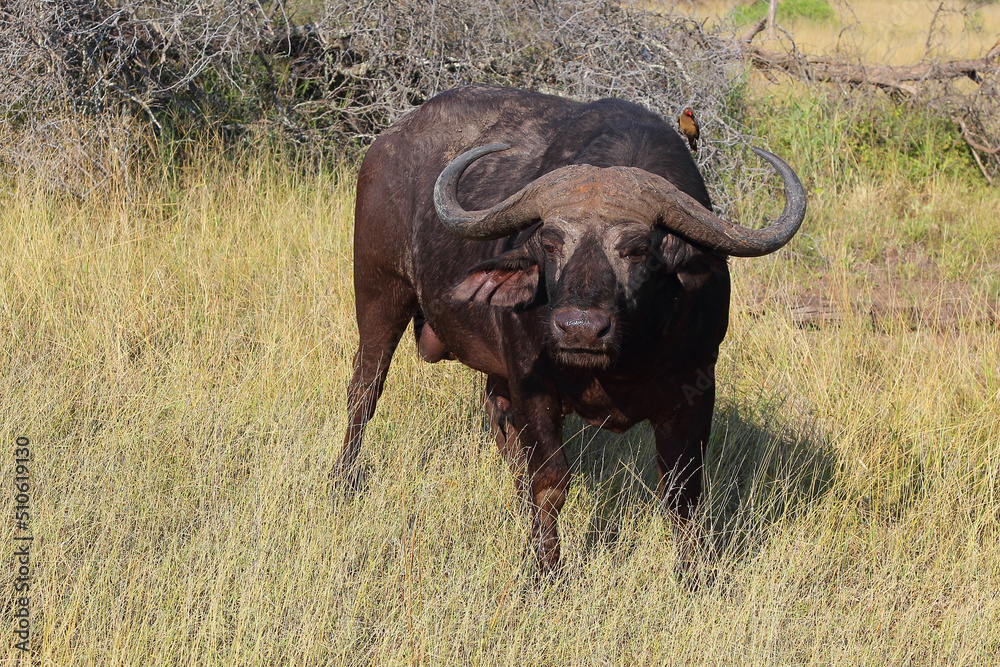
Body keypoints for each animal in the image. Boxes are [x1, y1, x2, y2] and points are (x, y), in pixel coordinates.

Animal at [335, 86, 805, 573]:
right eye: (550, 243)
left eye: (638, 249)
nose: (579, 329)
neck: (623, 360)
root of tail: (387, 142)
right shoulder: (534, 382)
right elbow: (551, 480)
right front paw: (546, 569)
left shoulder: (695, 388)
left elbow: (683, 492)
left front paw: (693, 575)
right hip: (378, 294)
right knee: (364, 392)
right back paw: (343, 482)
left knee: (499, 423)